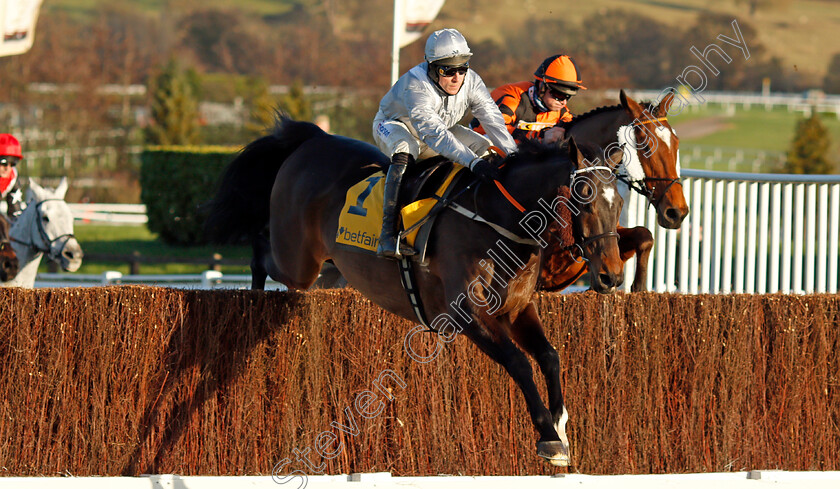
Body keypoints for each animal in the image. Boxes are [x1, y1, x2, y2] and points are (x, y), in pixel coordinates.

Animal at [205, 118, 624, 466]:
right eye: (584, 197)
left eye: (619, 202)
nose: (612, 276)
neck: (497, 219)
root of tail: (314, 139)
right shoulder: (465, 314)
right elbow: (519, 362)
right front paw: (548, 436)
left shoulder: (518, 308)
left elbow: (550, 355)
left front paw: (561, 423)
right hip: (297, 261)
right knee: (263, 252)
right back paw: (253, 288)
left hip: (332, 271)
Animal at [540, 88, 688, 290]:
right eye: (646, 146)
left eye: (676, 142)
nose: (677, 213)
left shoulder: (610, 235)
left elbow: (644, 235)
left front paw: (639, 286)